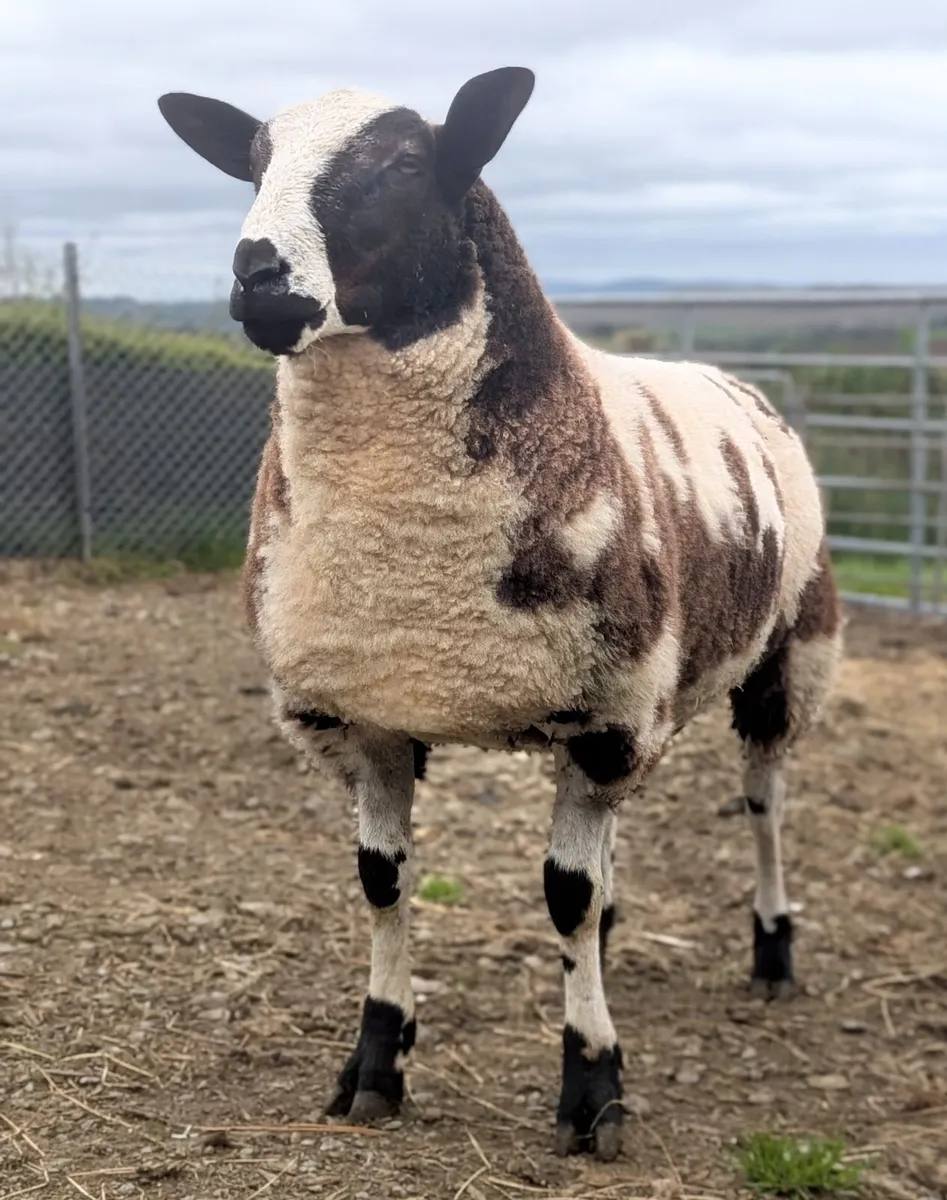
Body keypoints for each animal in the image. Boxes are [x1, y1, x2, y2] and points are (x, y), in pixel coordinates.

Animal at [157, 66, 843, 1162]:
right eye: (253, 166)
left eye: (405, 162)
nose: (259, 276)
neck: (411, 571)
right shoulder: (369, 715)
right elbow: (382, 882)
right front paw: (375, 1066)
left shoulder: (607, 716)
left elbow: (563, 896)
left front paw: (593, 1091)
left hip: (790, 651)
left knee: (762, 804)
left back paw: (773, 954)